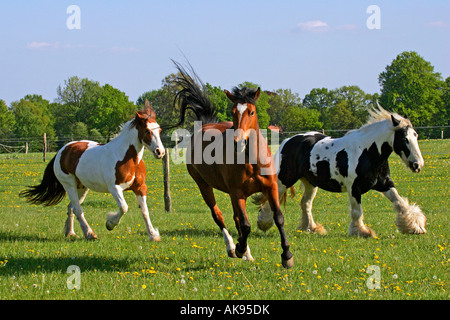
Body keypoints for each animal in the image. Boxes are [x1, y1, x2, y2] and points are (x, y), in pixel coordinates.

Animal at [19, 101, 165, 241]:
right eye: (147, 130)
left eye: (159, 130)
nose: (160, 152)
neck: (127, 159)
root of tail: (62, 150)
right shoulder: (115, 188)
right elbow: (124, 208)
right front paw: (110, 224)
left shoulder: (140, 187)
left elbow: (145, 211)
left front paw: (153, 235)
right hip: (69, 184)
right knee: (77, 209)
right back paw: (89, 234)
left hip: (82, 187)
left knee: (71, 207)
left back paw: (70, 233)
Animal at [171, 62, 294, 268]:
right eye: (233, 112)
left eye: (251, 112)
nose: (239, 142)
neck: (252, 161)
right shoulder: (237, 193)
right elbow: (245, 224)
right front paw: (239, 248)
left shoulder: (270, 187)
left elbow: (278, 218)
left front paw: (287, 255)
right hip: (204, 186)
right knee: (219, 215)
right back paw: (232, 247)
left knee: (236, 219)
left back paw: (246, 253)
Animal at [255, 105, 428, 238]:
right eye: (404, 139)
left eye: (416, 136)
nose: (417, 165)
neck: (368, 153)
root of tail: (288, 141)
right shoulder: (354, 188)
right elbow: (357, 211)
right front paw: (362, 232)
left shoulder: (384, 184)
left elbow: (400, 203)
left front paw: (415, 227)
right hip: (285, 179)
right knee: (274, 198)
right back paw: (264, 223)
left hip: (311, 183)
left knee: (305, 203)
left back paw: (312, 228)